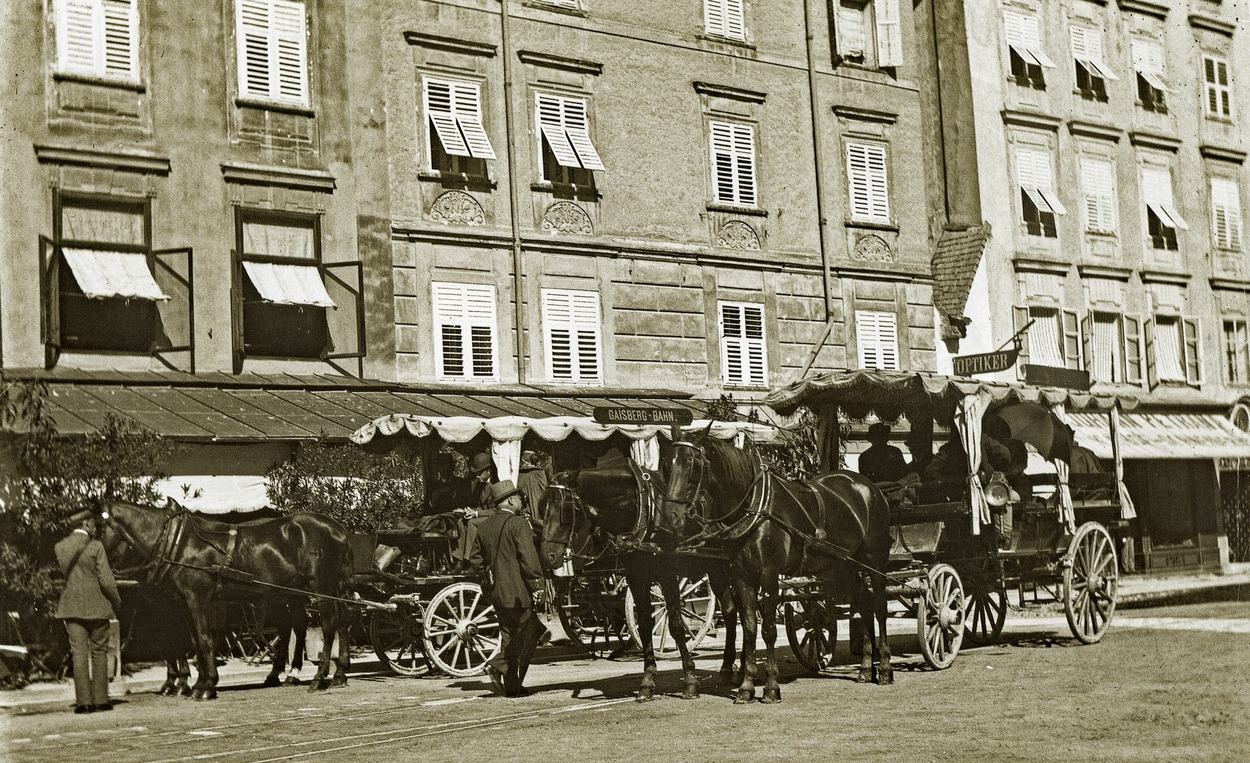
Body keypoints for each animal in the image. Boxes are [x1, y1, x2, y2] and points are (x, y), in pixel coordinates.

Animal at [94, 495, 352, 700]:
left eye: (94, 526)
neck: (176, 542)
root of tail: (339, 529)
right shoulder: (181, 603)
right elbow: (191, 642)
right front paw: (192, 683)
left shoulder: (194, 600)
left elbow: (200, 639)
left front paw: (203, 686)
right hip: (297, 590)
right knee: (319, 623)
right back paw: (328, 674)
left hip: (320, 588)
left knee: (328, 626)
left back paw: (319, 678)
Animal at [535, 460, 730, 700]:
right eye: (541, 506)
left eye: (564, 510)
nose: (547, 557)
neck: (646, 508)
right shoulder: (636, 575)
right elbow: (644, 625)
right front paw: (647, 681)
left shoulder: (667, 573)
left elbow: (675, 624)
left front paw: (690, 680)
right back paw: (730, 670)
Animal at [660, 430, 895, 705]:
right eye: (666, 466)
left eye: (693, 466)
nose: (670, 516)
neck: (755, 507)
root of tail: (869, 487)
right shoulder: (741, 576)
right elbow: (750, 628)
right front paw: (746, 686)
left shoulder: (769, 575)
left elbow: (769, 630)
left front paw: (771, 687)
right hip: (839, 567)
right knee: (864, 603)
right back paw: (867, 668)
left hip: (873, 560)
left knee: (879, 607)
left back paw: (886, 668)